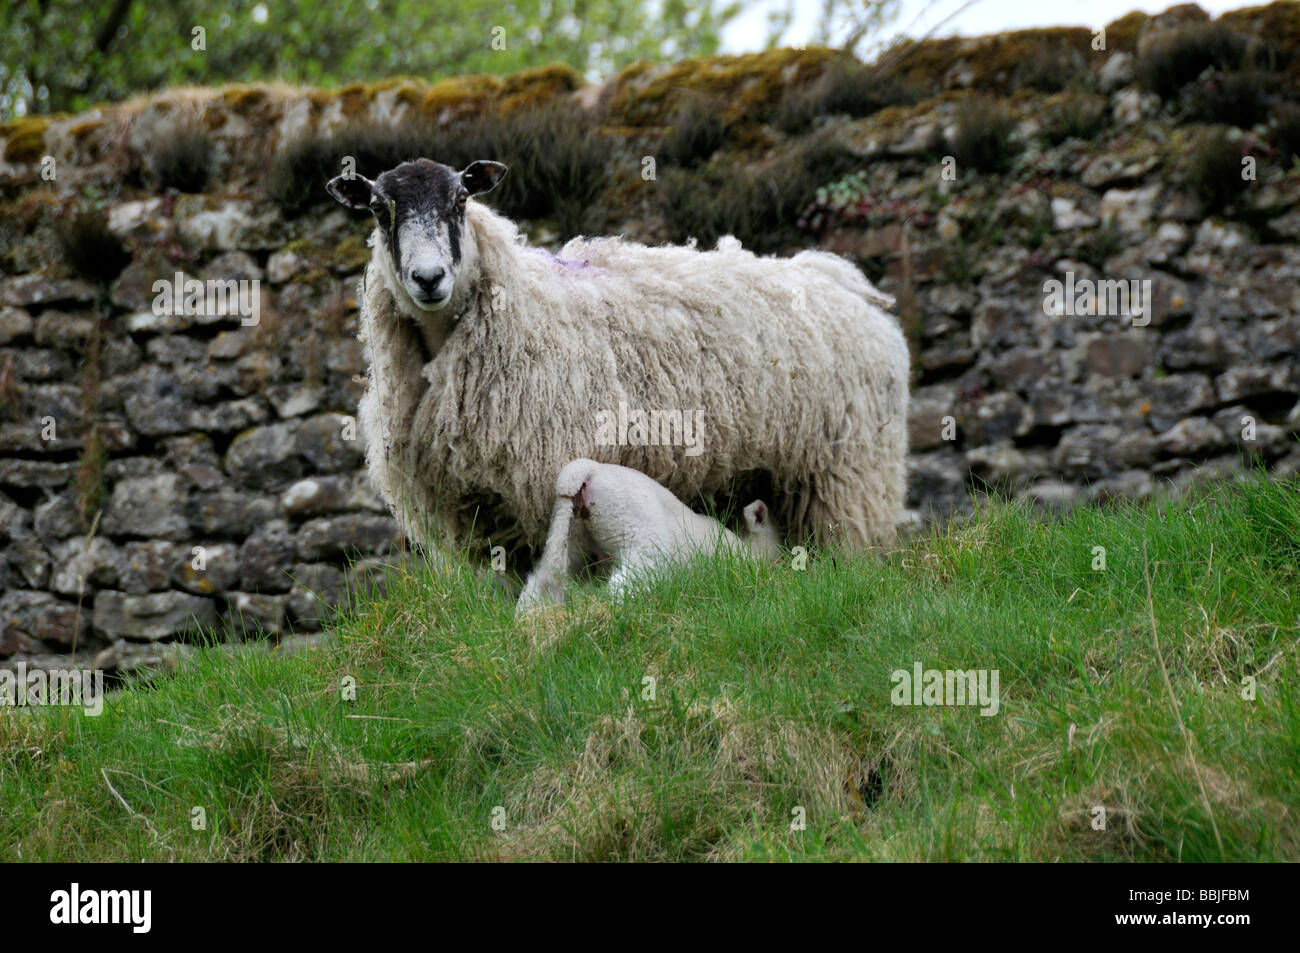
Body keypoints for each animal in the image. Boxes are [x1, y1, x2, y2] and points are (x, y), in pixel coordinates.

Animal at [326, 157, 909, 570]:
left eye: (461, 199)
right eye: (378, 209)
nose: (429, 279)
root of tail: (841, 280)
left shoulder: (547, 479)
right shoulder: (475, 510)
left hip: (848, 469)